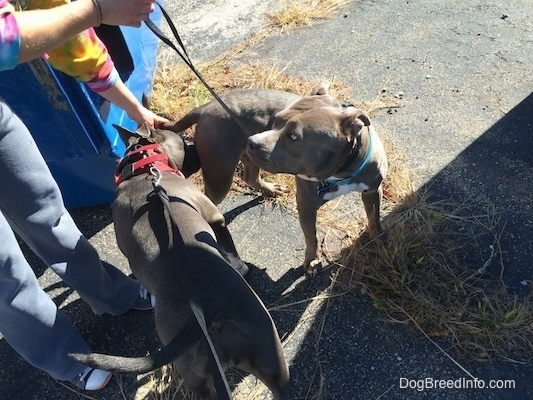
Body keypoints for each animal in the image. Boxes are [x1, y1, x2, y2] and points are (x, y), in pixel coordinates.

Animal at [162, 83, 386, 276]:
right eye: (276, 120)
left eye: (293, 136)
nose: (252, 140)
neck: (341, 172)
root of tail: (207, 106)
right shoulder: (306, 204)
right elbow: (311, 236)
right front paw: (312, 261)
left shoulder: (372, 190)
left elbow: (374, 218)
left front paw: (379, 241)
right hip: (220, 174)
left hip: (246, 160)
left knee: (250, 176)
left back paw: (270, 189)